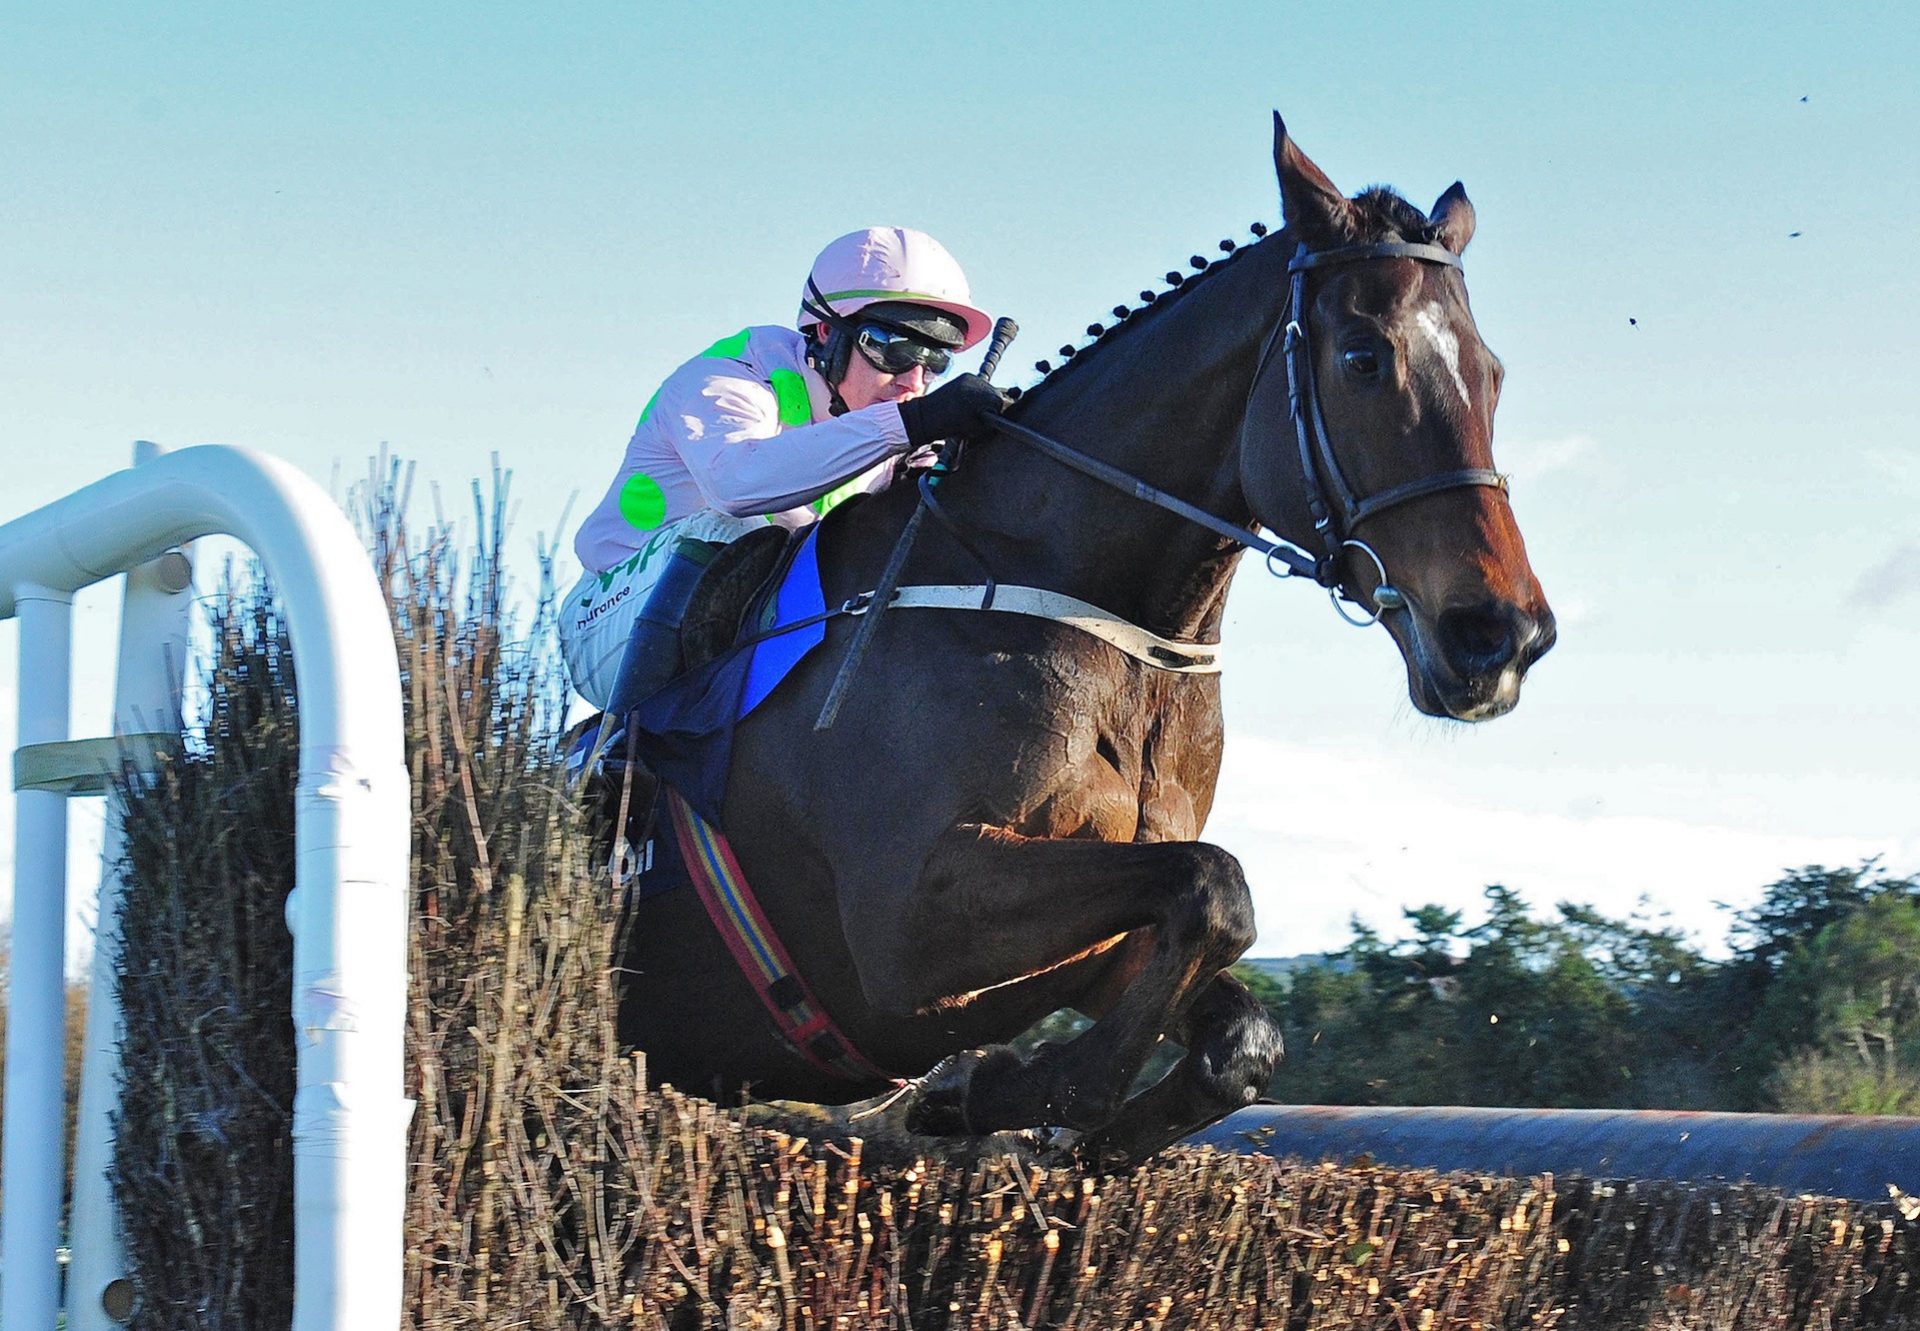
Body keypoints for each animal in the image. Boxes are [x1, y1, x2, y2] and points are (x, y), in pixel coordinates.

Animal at [614, 116, 1559, 1160]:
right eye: (1362, 356)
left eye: (1494, 372)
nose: (1503, 635)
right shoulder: (903, 927)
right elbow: (1215, 886)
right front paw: (994, 1089)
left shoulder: (1104, 939)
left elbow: (1239, 1023)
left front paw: (1022, 1109)